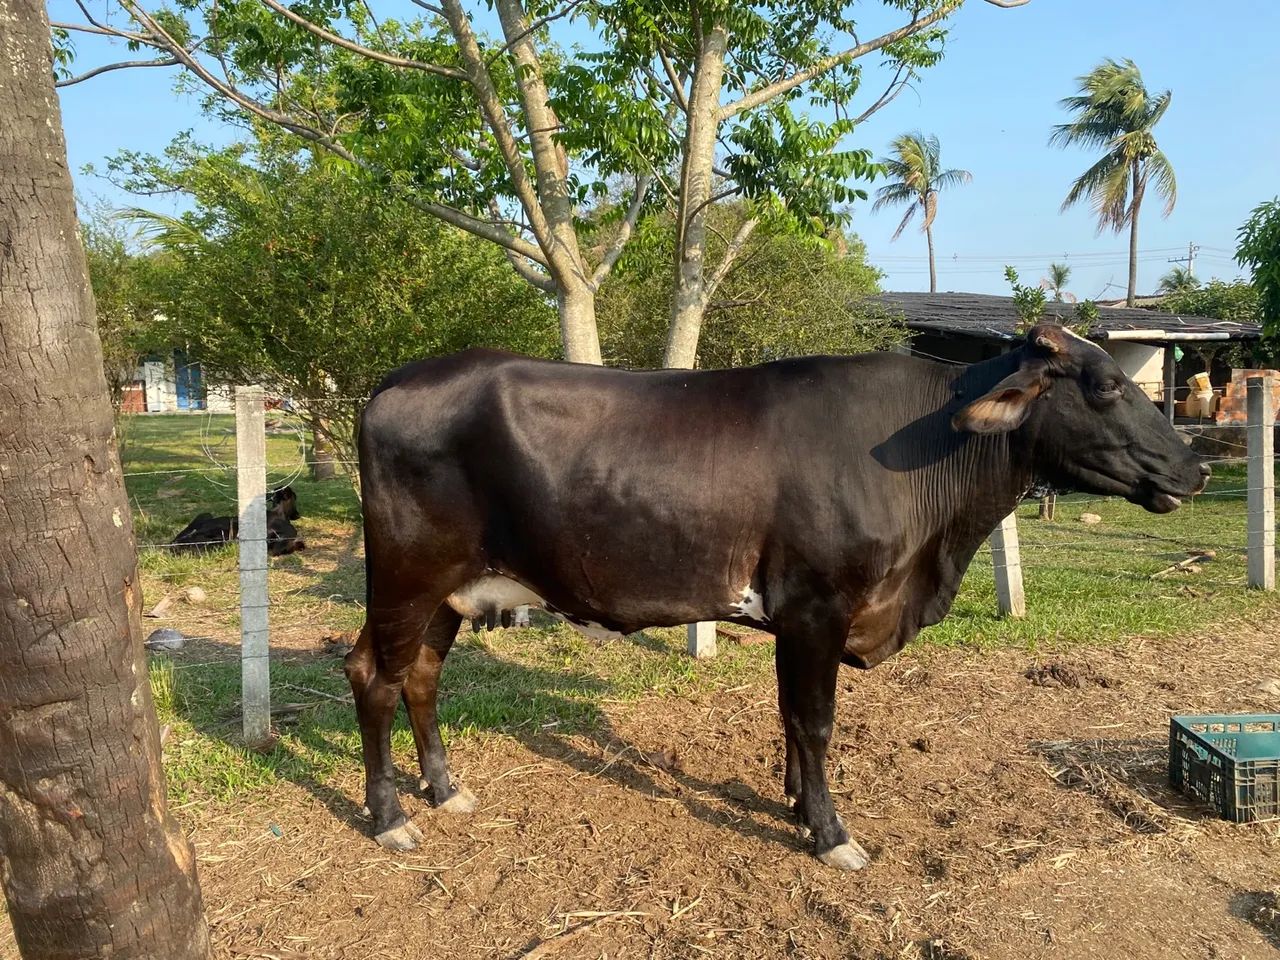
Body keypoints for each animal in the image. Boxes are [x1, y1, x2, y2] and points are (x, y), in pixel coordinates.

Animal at [344, 323, 1209, 869]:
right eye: (1105, 386)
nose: (1194, 468)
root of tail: (398, 380)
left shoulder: (797, 618)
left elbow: (792, 717)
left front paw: (796, 805)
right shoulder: (818, 607)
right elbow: (817, 721)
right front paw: (830, 832)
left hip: (446, 593)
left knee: (420, 676)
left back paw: (445, 791)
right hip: (407, 576)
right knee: (375, 678)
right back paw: (389, 819)